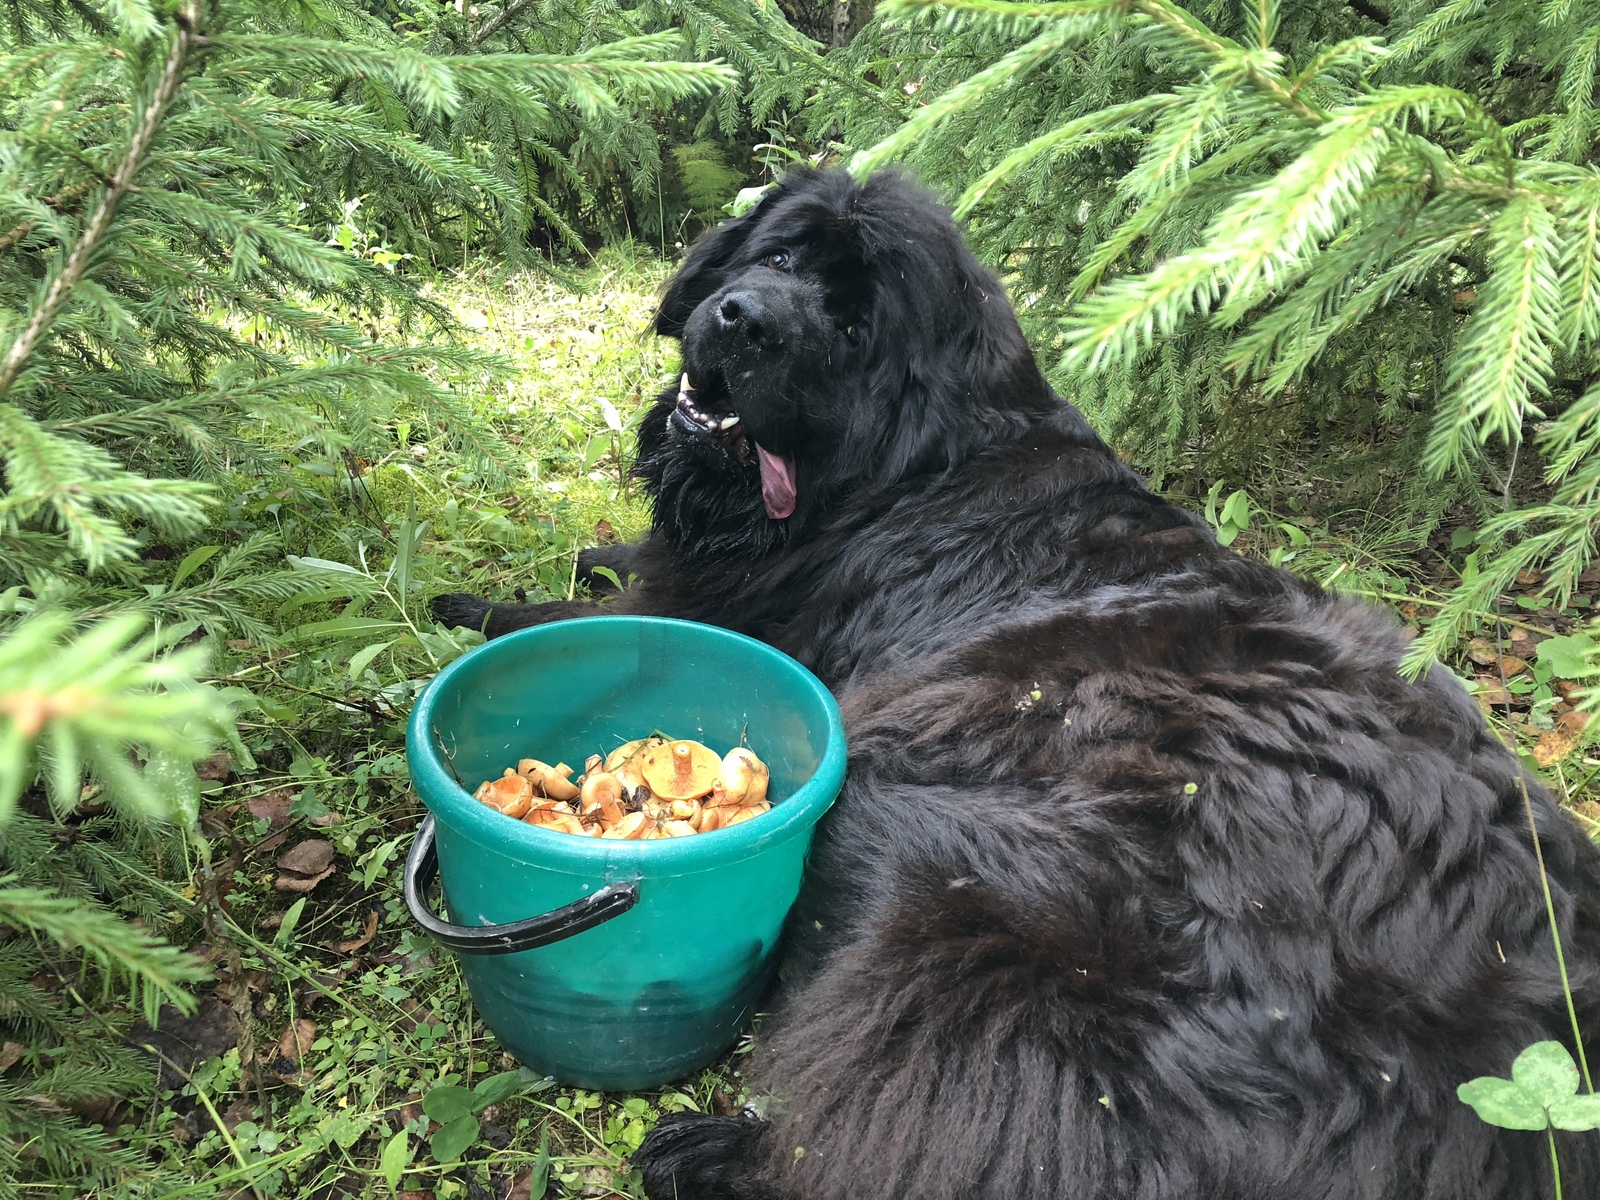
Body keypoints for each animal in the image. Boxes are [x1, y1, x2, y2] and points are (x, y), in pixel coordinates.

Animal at [435, 169, 1600, 1200]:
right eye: (780, 255)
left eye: (852, 332)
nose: (745, 319)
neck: (907, 469)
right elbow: (613, 562)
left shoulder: (730, 614)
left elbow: (574, 615)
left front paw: (461, 607)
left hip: (961, 889)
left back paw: (709, 1155)